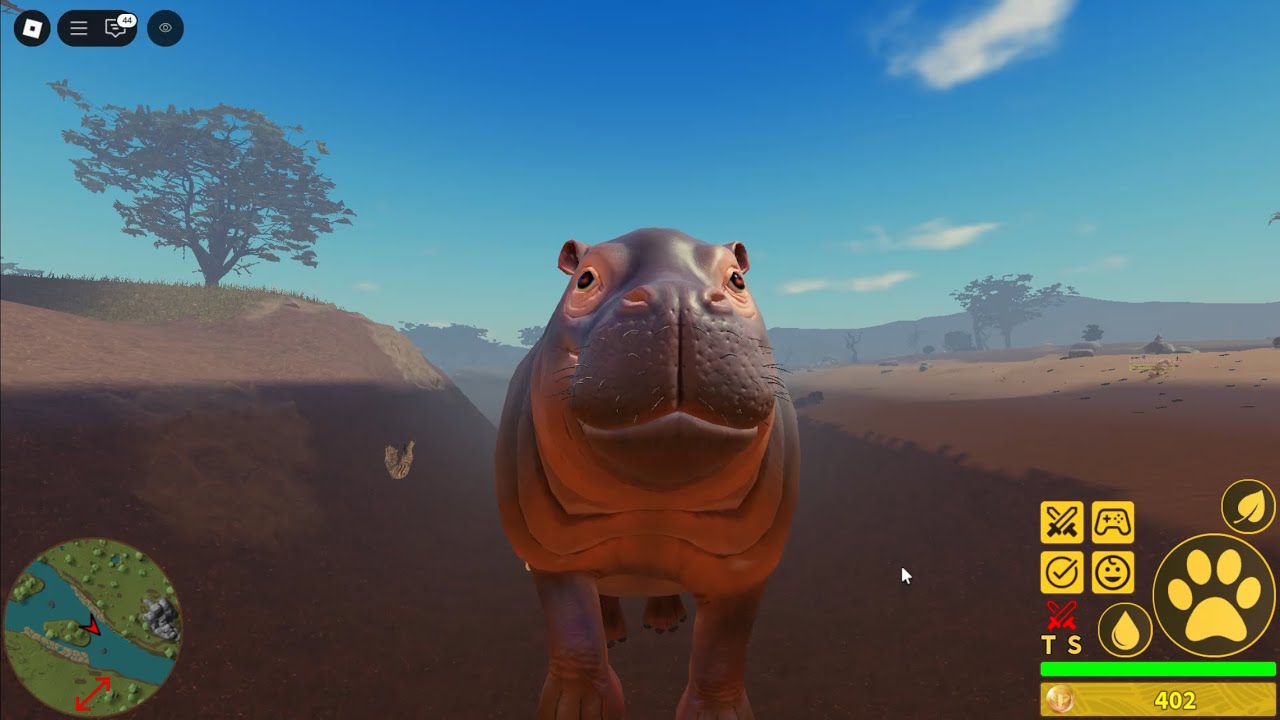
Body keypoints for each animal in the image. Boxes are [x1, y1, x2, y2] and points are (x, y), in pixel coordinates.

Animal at [495, 228, 799, 719]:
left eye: (737, 279)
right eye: (584, 279)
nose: (678, 297)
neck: (654, 499)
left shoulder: (745, 566)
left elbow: (723, 648)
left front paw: (717, 714)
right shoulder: (552, 555)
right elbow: (574, 630)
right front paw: (577, 708)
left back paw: (664, 623)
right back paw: (615, 632)